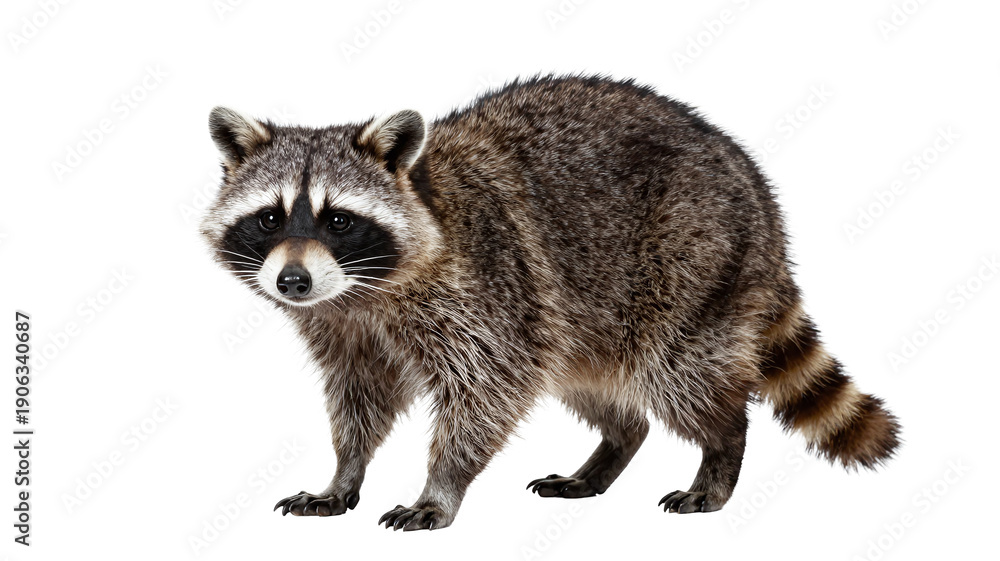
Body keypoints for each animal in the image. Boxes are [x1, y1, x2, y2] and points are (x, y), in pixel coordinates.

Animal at [201, 75, 900, 531]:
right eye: (269, 218)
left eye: (339, 220)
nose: (293, 282)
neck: (362, 293)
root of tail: (761, 198)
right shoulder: (347, 329)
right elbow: (359, 398)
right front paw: (345, 471)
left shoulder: (487, 291)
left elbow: (489, 391)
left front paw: (441, 485)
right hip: (593, 316)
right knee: (598, 385)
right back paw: (613, 448)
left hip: (694, 266)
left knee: (680, 373)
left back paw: (722, 452)